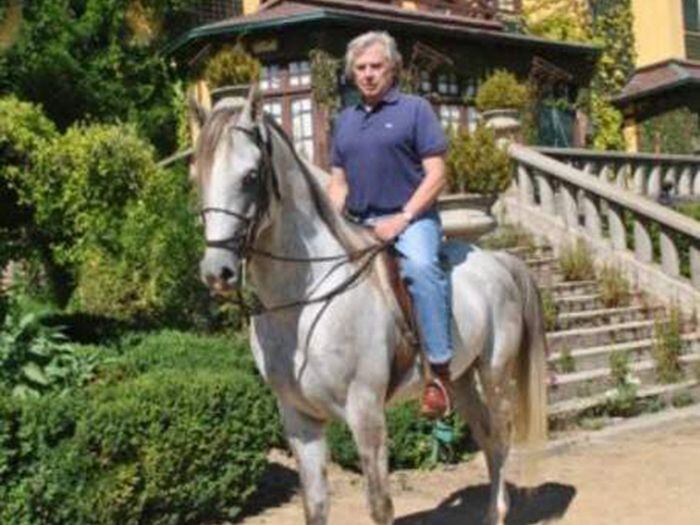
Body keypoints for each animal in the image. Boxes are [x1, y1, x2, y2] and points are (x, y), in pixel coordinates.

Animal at [193, 87, 548, 525]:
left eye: (250, 177)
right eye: (197, 178)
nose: (217, 272)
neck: (301, 303)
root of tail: (497, 260)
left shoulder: (366, 413)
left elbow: (380, 506)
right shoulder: (299, 420)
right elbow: (315, 507)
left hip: (494, 373)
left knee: (500, 438)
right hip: (460, 380)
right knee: (485, 436)